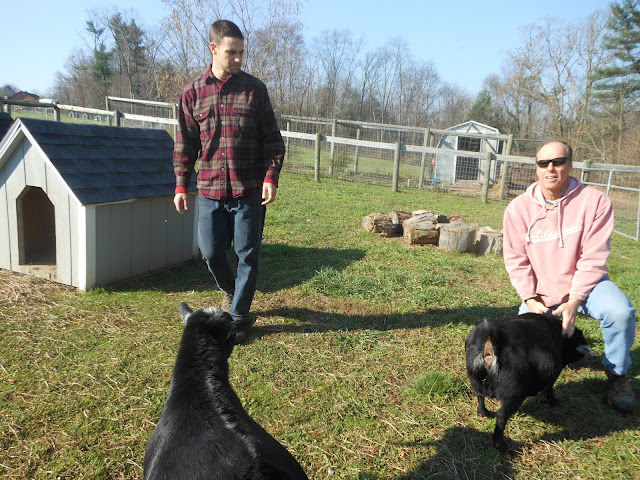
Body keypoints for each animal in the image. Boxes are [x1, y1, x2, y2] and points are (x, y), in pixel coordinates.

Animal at [465, 313, 596, 451]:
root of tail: (490, 349)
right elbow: (549, 389)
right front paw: (554, 401)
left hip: (476, 380)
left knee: (480, 396)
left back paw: (483, 413)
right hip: (513, 393)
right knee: (501, 417)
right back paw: (500, 444)